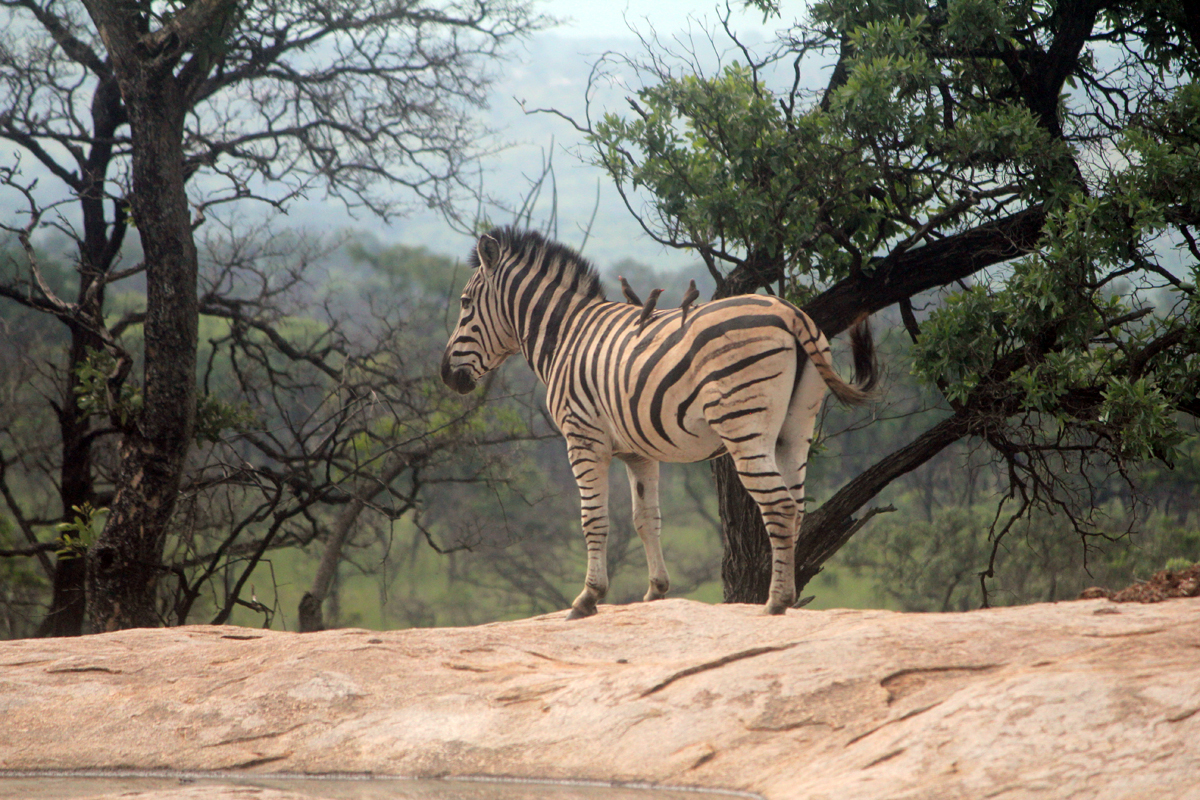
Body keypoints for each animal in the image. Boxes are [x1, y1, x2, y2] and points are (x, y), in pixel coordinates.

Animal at [441, 225, 873, 618]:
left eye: (464, 302)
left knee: (779, 506)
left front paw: (588, 598)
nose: (446, 375)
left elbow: (592, 519)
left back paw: (776, 602)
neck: (566, 335)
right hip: (795, 429)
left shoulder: (583, 439)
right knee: (796, 507)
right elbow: (645, 519)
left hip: (744, 426)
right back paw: (788, 597)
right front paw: (655, 592)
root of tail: (791, 312)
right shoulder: (638, 453)